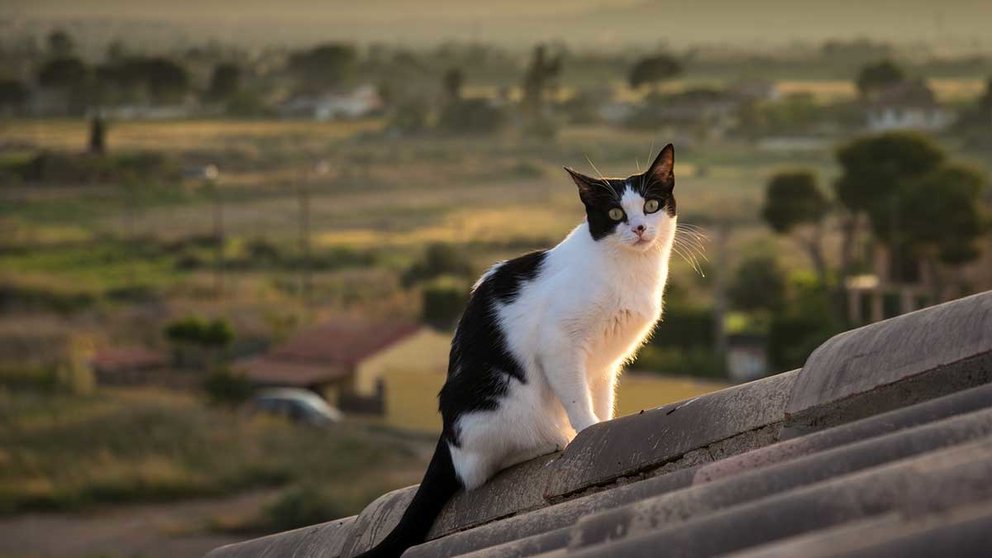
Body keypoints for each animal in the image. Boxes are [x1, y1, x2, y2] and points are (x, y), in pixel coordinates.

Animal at [358, 145, 680, 558]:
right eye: (615, 214)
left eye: (652, 205)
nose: (639, 228)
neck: (628, 270)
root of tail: (446, 436)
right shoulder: (559, 344)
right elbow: (578, 400)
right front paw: (588, 429)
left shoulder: (605, 364)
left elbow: (601, 399)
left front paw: (605, 423)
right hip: (499, 400)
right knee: (478, 468)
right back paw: (554, 439)